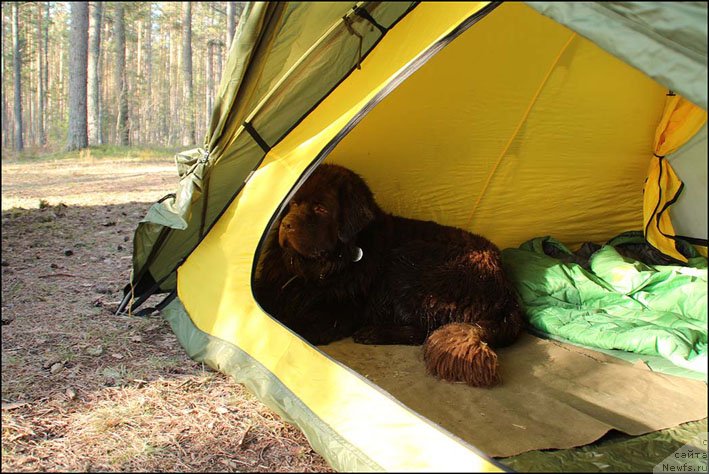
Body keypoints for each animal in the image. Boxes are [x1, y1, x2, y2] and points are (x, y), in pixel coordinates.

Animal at [256, 163, 524, 386]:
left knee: (424, 331)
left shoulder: (341, 308)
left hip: (409, 263)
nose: (286, 224)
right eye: (292, 204)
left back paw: (373, 332)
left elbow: (295, 321)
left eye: (321, 208)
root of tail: (507, 289)